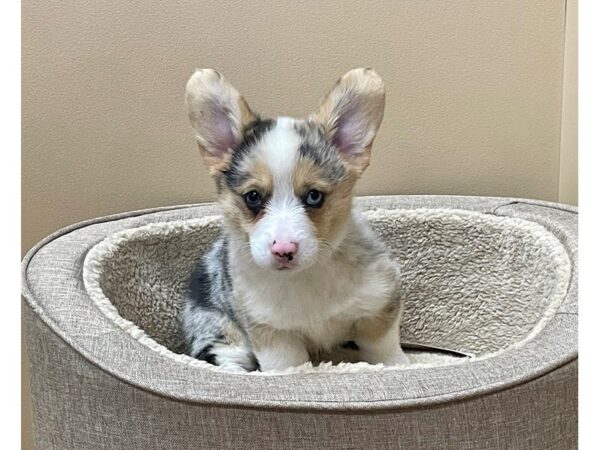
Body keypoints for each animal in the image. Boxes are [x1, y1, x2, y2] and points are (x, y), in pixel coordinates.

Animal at [180, 68, 410, 370]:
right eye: (253, 197)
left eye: (314, 196)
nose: (283, 250)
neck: (306, 275)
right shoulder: (274, 338)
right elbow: (288, 368)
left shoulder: (380, 303)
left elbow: (384, 350)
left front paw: (399, 367)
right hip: (221, 338)